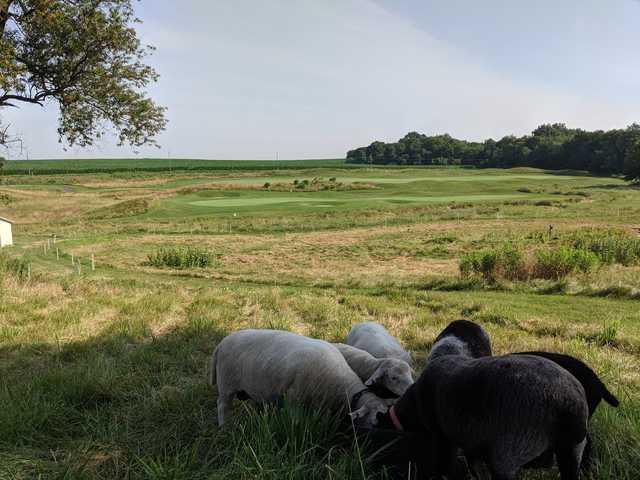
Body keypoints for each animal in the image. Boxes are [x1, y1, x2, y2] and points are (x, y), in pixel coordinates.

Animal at [210, 330, 390, 428]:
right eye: (376, 420)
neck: (342, 385)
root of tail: (221, 343)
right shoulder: (294, 398)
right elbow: (295, 421)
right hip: (226, 383)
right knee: (222, 405)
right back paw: (224, 426)